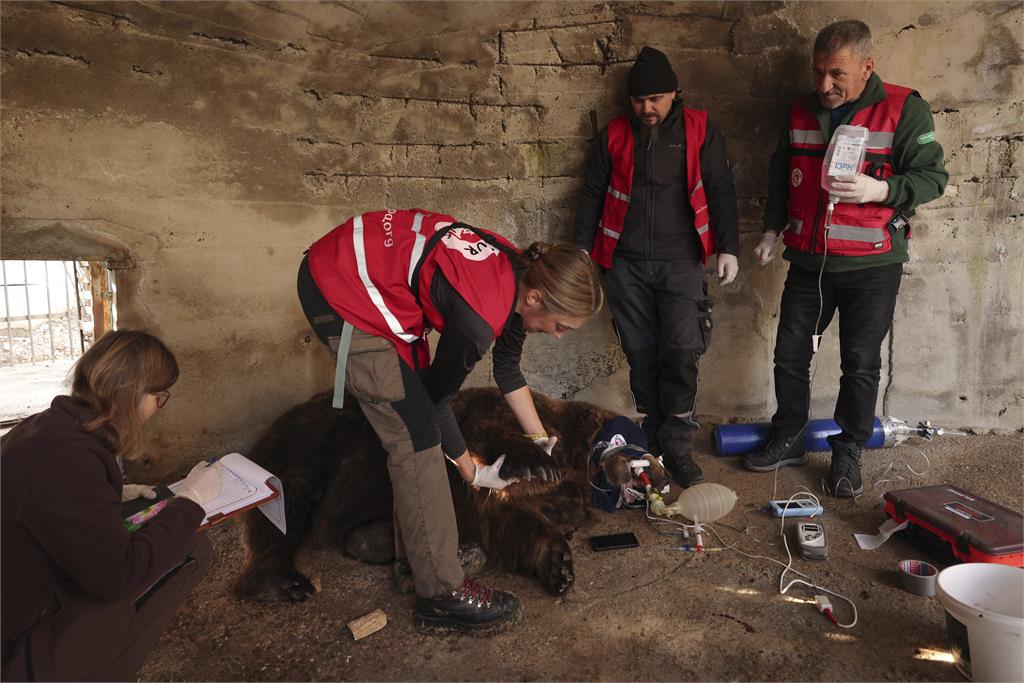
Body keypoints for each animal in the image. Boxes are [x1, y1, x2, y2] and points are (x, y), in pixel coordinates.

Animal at [234, 387, 671, 602]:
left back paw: (373, 540)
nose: (664, 474)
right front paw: (532, 461)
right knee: (286, 500)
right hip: (312, 441)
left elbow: (510, 520)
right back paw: (280, 579)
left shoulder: (532, 500)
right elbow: (485, 429)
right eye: (644, 447)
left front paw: (556, 564)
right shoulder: (490, 417)